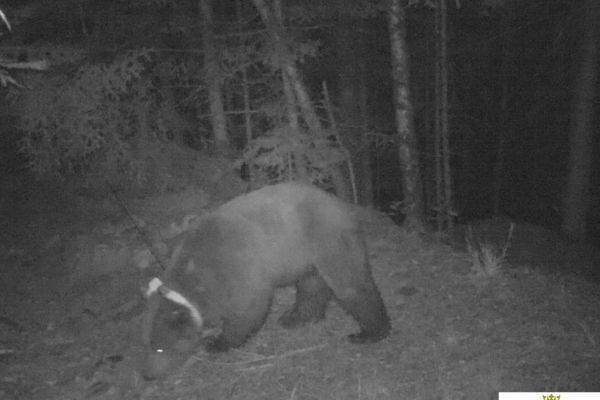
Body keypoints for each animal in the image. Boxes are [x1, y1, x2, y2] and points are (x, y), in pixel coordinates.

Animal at [142, 183, 392, 380]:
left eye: (161, 349)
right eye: (151, 344)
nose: (147, 375)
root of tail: (342, 205)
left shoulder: (237, 269)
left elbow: (249, 309)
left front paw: (218, 342)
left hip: (326, 238)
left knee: (350, 284)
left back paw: (369, 332)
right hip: (306, 255)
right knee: (312, 285)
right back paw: (296, 318)